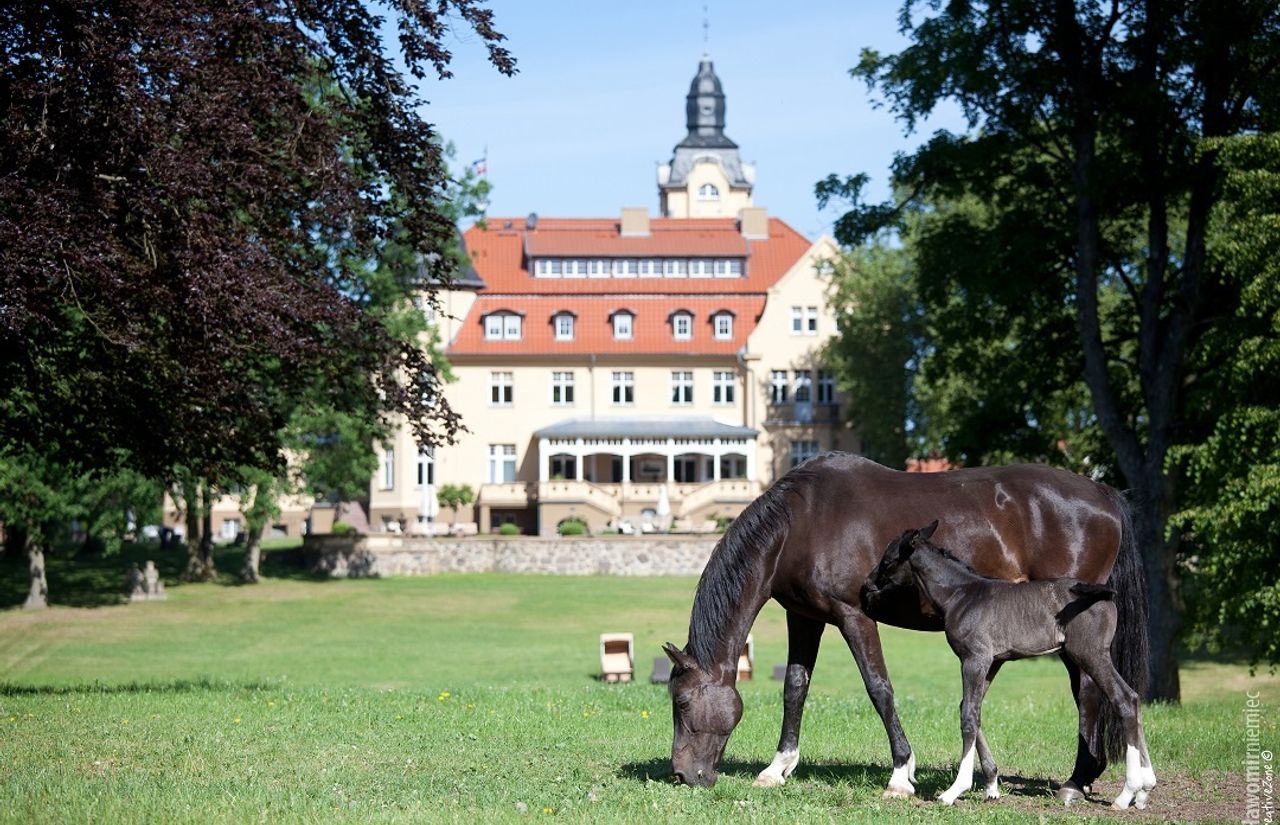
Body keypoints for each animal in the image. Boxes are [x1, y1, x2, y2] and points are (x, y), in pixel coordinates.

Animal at [665, 452, 1146, 803]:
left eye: (683, 702)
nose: (683, 774)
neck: (802, 523)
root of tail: (1102, 492)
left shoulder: (852, 616)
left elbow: (879, 688)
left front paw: (901, 772)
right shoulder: (804, 617)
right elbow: (795, 688)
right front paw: (777, 767)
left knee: (1089, 692)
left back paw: (1077, 781)